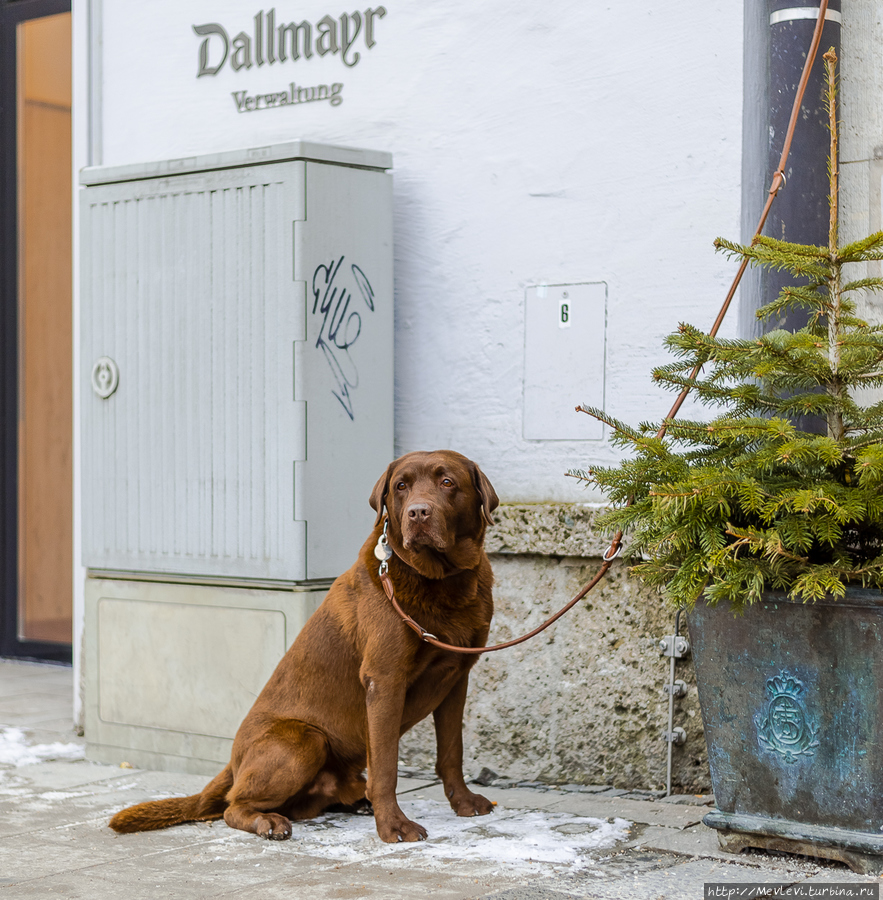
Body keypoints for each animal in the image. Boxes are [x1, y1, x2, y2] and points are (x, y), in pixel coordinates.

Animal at [109, 450, 498, 844]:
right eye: (401, 486)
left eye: (447, 482)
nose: (418, 512)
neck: (442, 581)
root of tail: (233, 762)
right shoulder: (385, 679)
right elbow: (386, 765)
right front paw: (393, 826)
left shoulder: (455, 678)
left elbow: (452, 750)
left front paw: (463, 802)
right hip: (305, 740)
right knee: (232, 806)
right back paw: (268, 822)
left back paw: (355, 802)